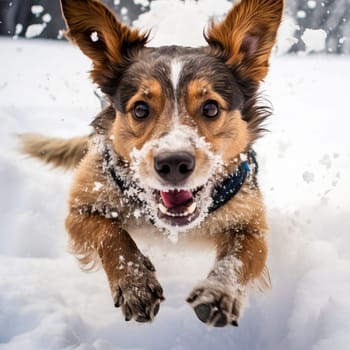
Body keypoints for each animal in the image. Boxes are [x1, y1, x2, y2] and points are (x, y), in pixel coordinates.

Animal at [20, 0, 284, 328]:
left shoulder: (251, 226)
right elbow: (111, 234)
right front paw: (135, 285)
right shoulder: (80, 209)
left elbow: (237, 257)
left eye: (211, 108)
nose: (173, 163)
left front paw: (219, 292)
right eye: (141, 109)